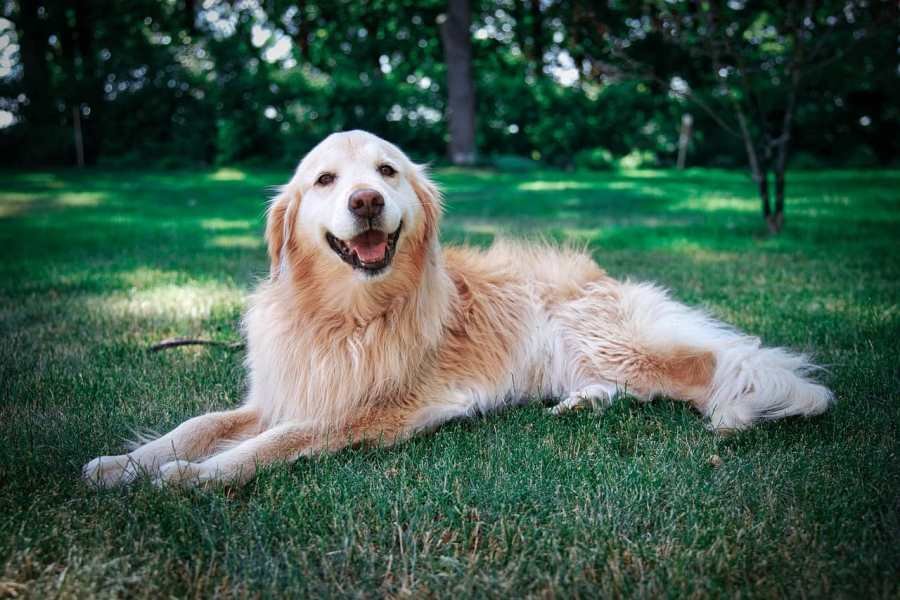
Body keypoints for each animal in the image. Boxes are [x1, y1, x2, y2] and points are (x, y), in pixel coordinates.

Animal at [81, 131, 832, 488]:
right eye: (325, 180)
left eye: (387, 171)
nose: (365, 201)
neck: (346, 315)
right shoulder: (283, 391)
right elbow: (199, 425)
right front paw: (124, 465)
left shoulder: (365, 412)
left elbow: (267, 446)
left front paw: (190, 479)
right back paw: (581, 404)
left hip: (618, 342)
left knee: (716, 365)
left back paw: (734, 411)